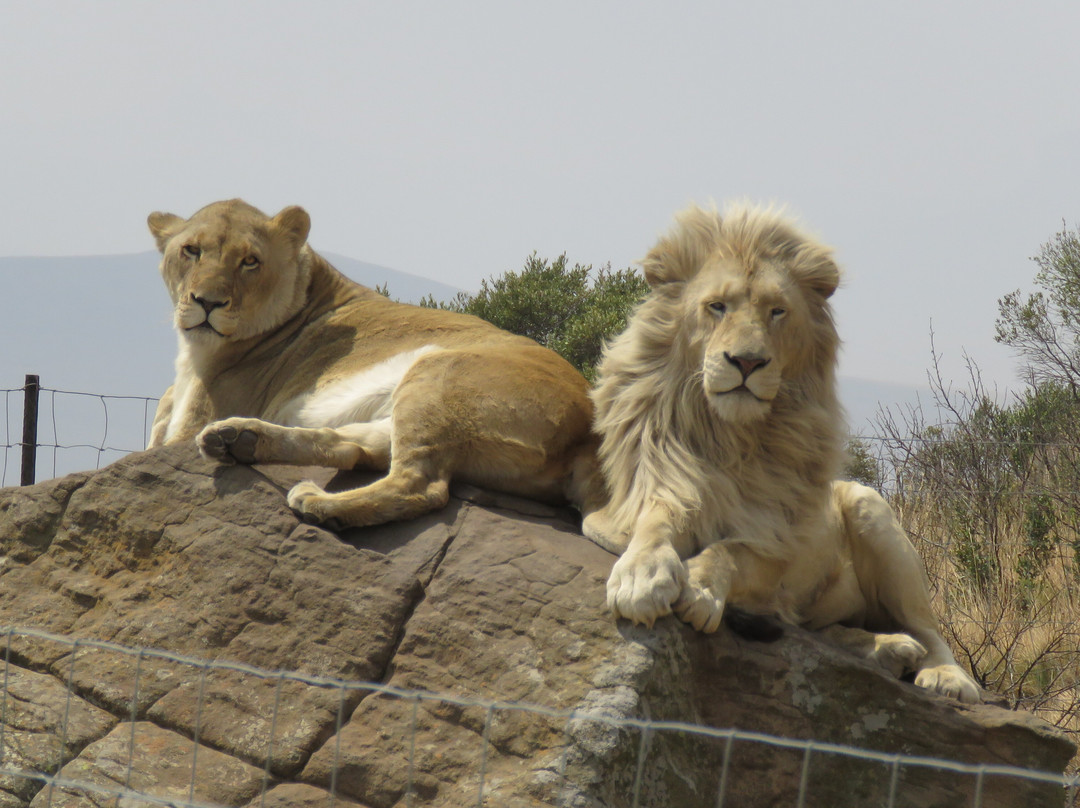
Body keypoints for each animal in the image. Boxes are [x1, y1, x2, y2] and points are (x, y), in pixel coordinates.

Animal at [146, 199, 604, 530]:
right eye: (191, 251)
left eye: (250, 261)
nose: (207, 302)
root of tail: (587, 429)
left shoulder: (188, 424)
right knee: (352, 448)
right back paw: (238, 439)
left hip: (436, 373)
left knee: (420, 486)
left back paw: (316, 502)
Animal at [583, 203, 981, 703]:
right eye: (718, 306)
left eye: (776, 311)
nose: (747, 362)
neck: (728, 437)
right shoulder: (635, 501)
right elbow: (656, 522)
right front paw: (642, 577)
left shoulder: (776, 548)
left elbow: (730, 551)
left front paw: (698, 588)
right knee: (831, 630)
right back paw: (888, 651)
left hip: (873, 513)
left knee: (927, 627)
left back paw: (945, 677)